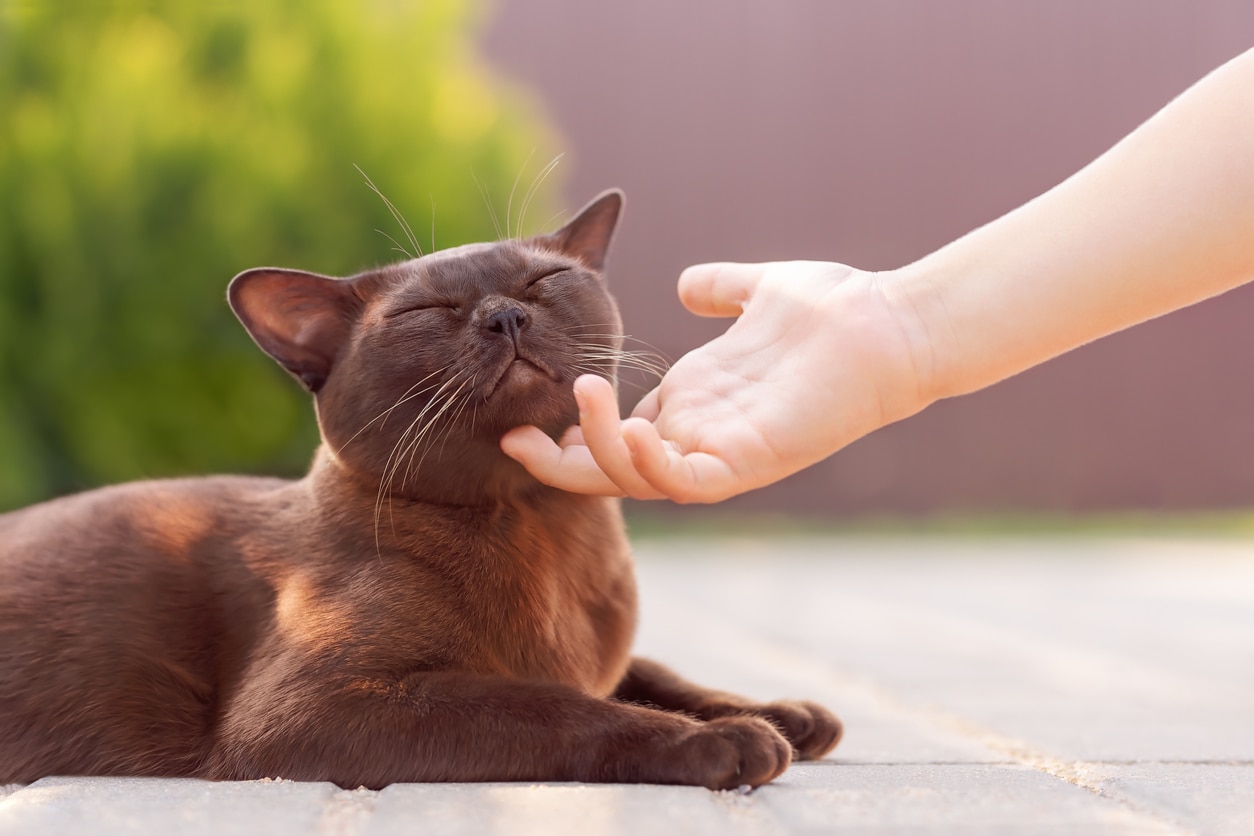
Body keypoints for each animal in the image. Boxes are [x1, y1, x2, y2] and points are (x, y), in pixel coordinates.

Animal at [2, 191, 842, 792]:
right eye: (426, 312)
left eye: (544, 280)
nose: (505, 315)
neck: (540, 523)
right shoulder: (317, 707)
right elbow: (556, 705)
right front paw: (730, 742)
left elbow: (654, 674)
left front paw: (785, 716)